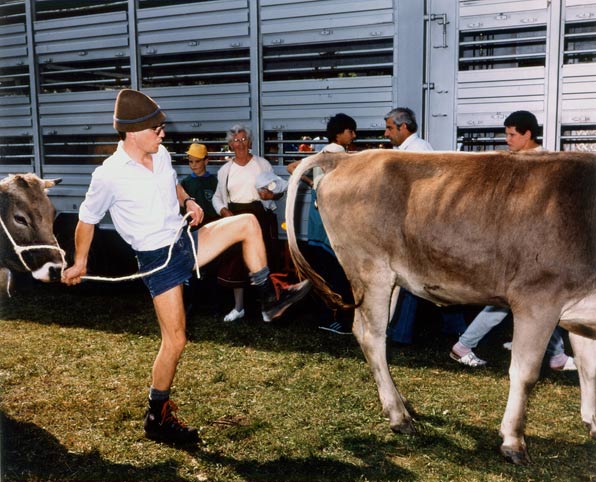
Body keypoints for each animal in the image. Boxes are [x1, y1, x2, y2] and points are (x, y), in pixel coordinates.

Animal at [286, 150, 596, 464]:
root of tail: (347, 157)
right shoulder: (537, 300)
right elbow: (526, 374)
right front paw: (513, 441)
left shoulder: (583, 316)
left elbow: (589, 368)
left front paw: (592, 422)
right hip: (371, 270)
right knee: (372, 337)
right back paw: (399, 416)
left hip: (391, 280)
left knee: (370, 335)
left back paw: (398, 403)